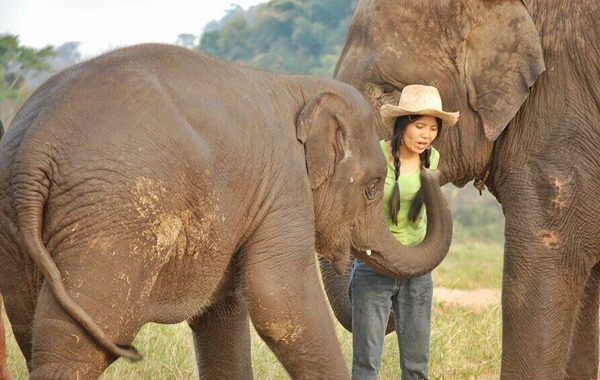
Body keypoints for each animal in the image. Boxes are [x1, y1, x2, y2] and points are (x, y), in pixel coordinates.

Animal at [0, 43, 450, 378]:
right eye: (374, 187)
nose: (428, 161)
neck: (297, 88)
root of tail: (35, 148)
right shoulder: (283, 189)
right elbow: (280, 299)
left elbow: (223, 310)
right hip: (114, 220)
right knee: (79, 341)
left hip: (16, 226)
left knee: (32, 330)